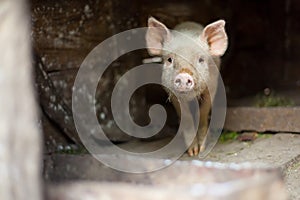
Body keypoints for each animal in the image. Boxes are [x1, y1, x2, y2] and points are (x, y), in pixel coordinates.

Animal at [145, 16, 227, 156]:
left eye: (201, 60)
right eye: (169, 59)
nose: (183, 76)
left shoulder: (212, 86)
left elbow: (203, 112)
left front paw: (201, 149)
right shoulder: (171, 93)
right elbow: (186, 116)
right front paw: (193, 152)